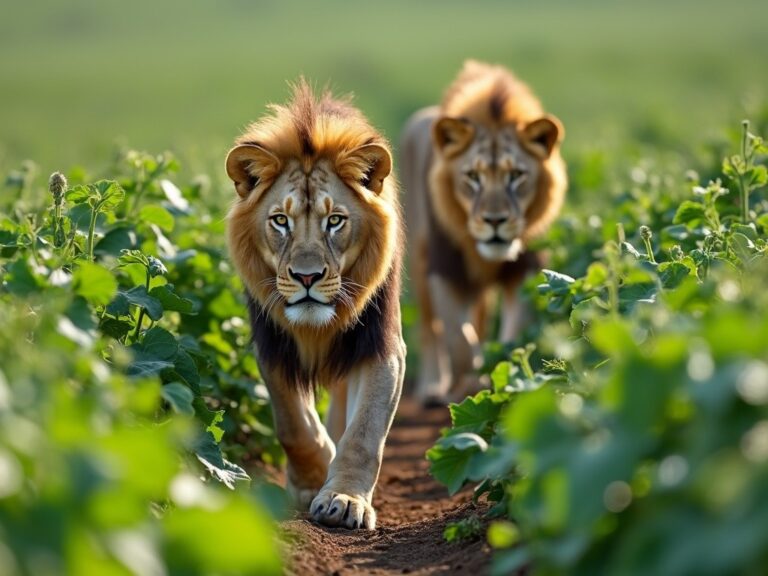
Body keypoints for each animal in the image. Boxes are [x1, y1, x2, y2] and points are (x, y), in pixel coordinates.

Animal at [226, 81, 404, 532]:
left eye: (335, 220)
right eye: (280, 221)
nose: (307, 277)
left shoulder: (382, 348)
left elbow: (363, 433)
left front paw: (343, 499)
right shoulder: (272, 346)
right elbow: (292, 425)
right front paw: (312, 480)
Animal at [400, 60, 568, 404]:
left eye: (516, 175)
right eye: (472, 177)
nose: (494, 220)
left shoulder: (525, 270)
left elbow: (512, 336)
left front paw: (502, 374)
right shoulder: (444, 269)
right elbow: (458, 340)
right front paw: (468, 377)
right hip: (418, 263)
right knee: (429, 328)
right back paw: (432, 388)